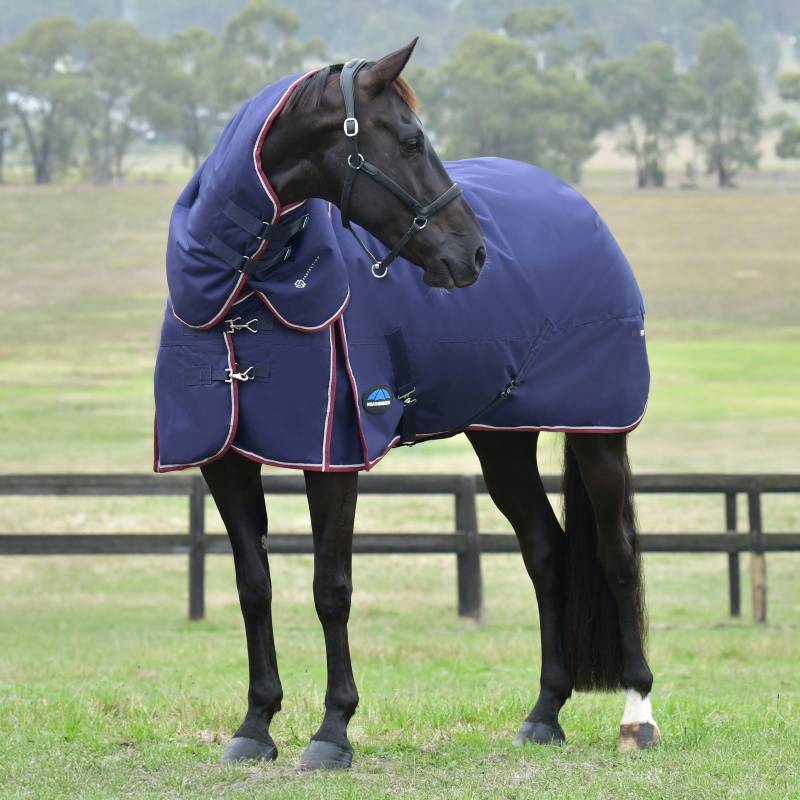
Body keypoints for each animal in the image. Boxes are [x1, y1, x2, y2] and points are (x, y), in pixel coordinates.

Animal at [154, 40, 659, 769]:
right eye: (411, 139)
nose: (473, 253)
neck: (247, 291)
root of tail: (576, 203)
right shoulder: (224, 460)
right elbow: (255, 585)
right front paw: (255, 725)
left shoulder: (333, 459)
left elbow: (330, 588)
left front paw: (332, 731)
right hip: (502, 438)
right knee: (546, 552)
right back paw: (544, 713)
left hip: (598, 431)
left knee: (617, 556)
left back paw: (638, 714)